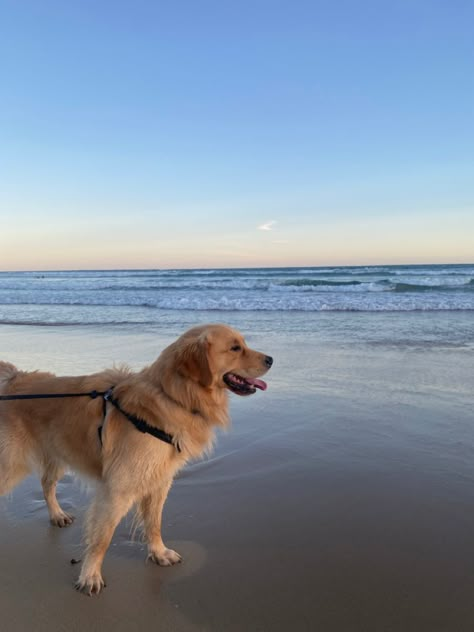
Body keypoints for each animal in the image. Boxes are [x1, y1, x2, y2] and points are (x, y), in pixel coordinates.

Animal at [0, 324, 272, 596]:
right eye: (235, 348)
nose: (270, 359)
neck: (172, 396)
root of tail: (14, 378)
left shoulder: (160, 481)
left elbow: (154, 523)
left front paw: (159, 553)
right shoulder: (118, 488)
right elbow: (102, 538)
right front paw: (90, 575)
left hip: (58, 452)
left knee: (47, 484)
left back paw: (57, 514)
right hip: (12, 464)